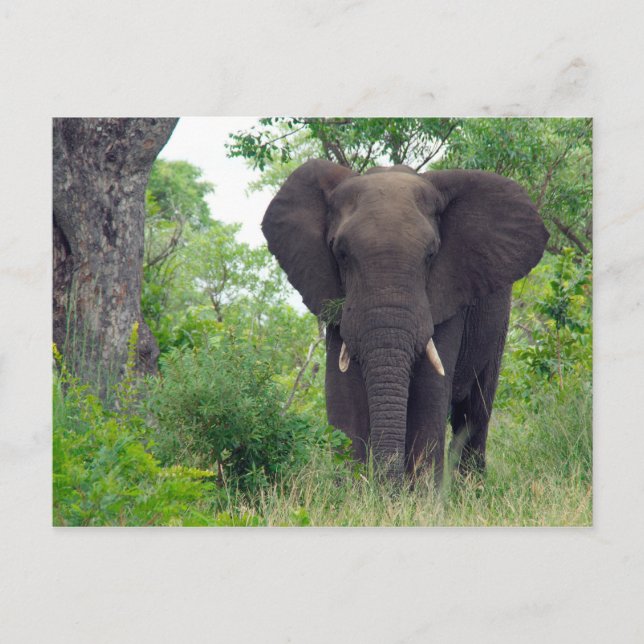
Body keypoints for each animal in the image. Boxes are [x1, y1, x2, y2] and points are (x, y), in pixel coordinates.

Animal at [262, 159, 549, 482]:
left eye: (431, 254)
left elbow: (428, 391)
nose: (386, 485)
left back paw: (470, 488)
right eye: (341, 254)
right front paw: (353, 491)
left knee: (475, 411)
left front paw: (420, 495)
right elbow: (343, 393)